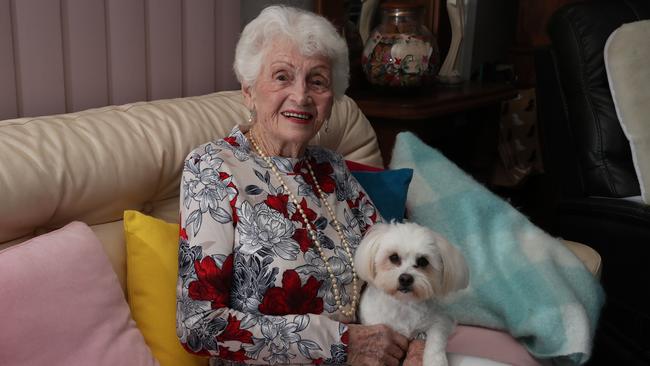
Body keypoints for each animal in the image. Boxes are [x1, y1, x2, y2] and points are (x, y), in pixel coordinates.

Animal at [354, 222, 466, 364]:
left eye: (423, 261)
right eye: (394, 257)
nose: (405, 278)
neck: (404, 304)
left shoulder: (440, 320)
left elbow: (436, 339)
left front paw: (435, 361)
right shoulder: (375, 322)